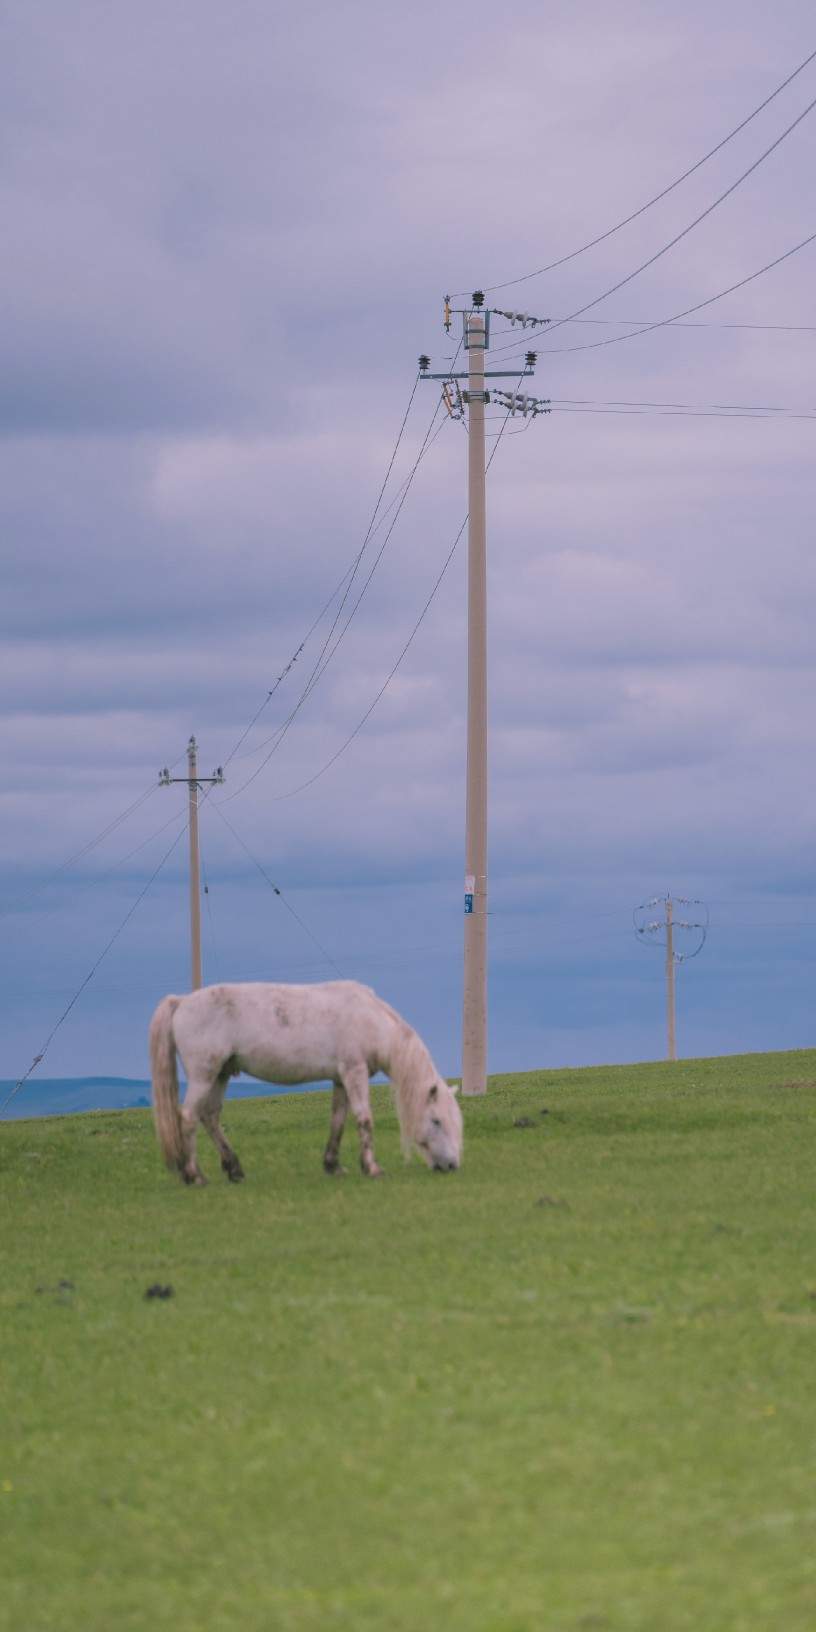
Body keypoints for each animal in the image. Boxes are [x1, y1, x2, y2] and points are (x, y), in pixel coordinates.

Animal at [150, 979, 463, 1188]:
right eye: (436, 1120)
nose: (451, 1165)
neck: (371, 1019)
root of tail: (181, 1001)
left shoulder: (340, 1079)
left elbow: (338, 1122)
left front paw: (333, 1165)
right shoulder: (355, 1072)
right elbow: (364, 1119)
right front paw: (371, 1168)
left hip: (220, 1075)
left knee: (210, 1116)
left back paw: (234, 1168)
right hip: (204, 1075)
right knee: (189, 1118)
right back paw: (194, 1175)